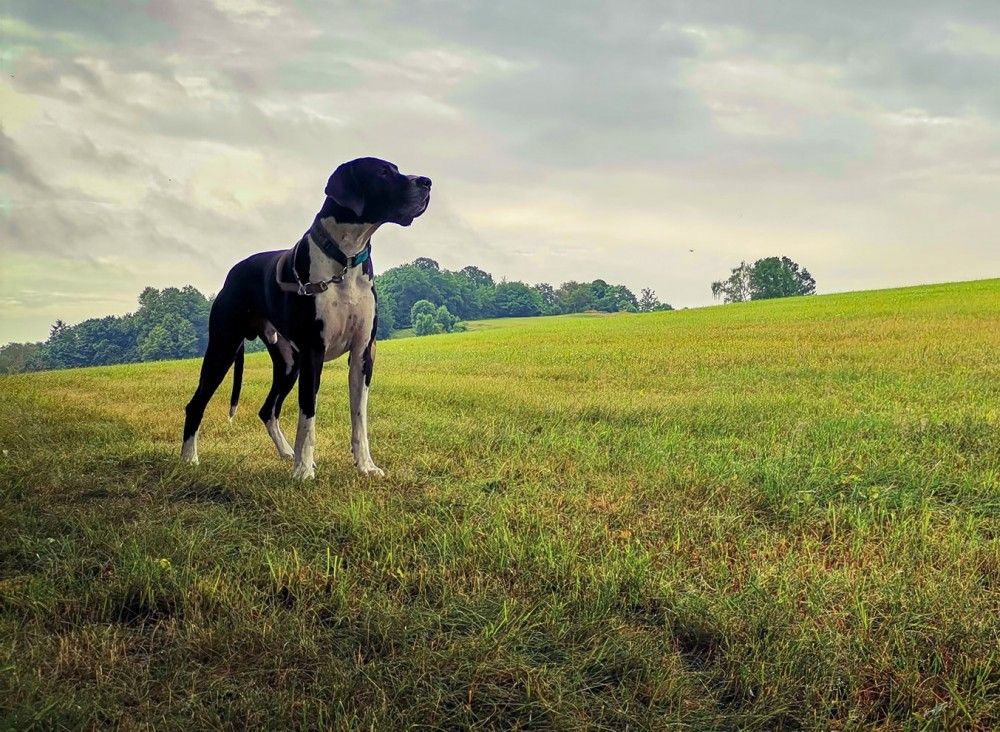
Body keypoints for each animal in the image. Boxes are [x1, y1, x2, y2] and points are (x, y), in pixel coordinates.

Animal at [181, 157, 431, 478]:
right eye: (383, 172)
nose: (426, 182)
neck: (345, 258)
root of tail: (234, 272)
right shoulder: (314, 351)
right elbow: (307, 414)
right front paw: (303, 470)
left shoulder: (363, 352)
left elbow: (359, 417)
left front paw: (365, 465)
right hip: (223, 348)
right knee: (196, 404)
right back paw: (189, 458)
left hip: (289, 363)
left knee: (267, 409)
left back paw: (286, 451)